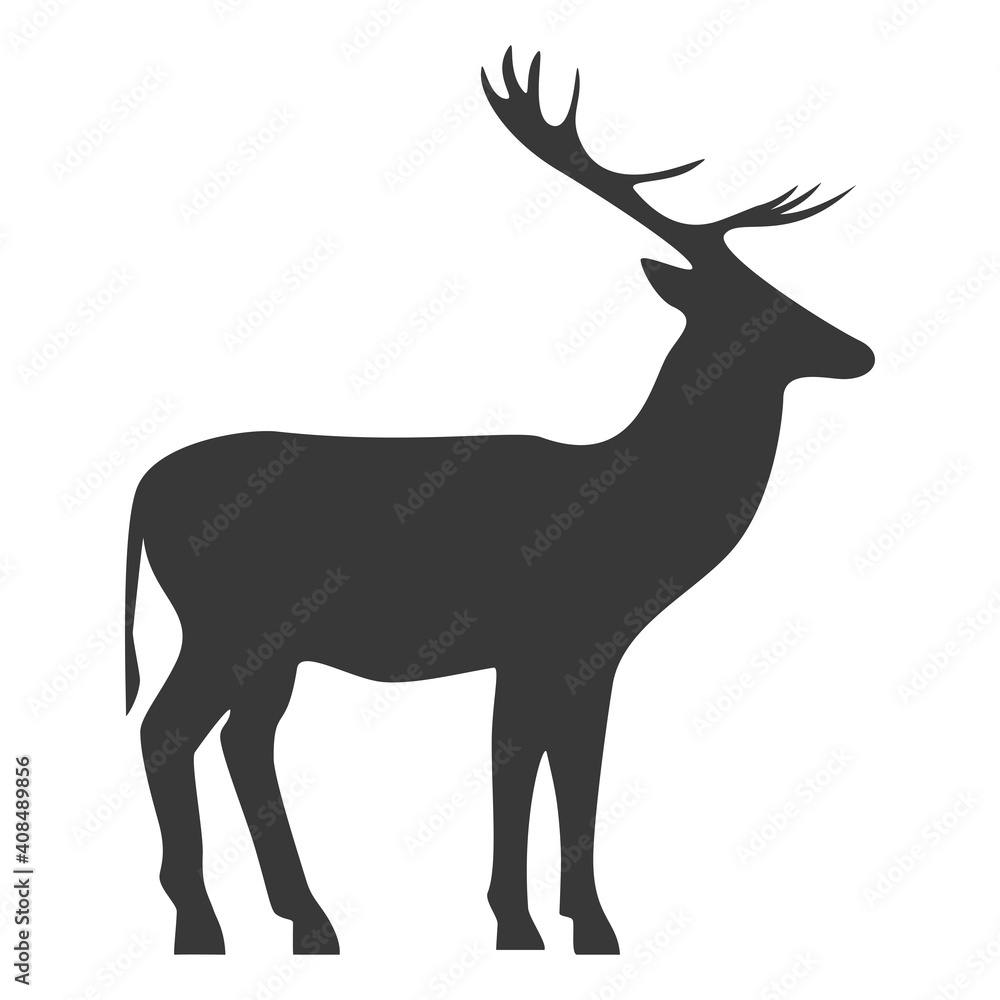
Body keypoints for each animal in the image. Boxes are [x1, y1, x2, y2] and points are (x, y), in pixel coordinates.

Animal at [124, 48, 874, 957]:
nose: (861, 350)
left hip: (271, 645)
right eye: (763, 306)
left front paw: (569, 922)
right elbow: (529, 770)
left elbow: (558, 771)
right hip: (224, 622)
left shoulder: (575, 653)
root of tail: (144, 486)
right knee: (166, 729)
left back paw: (306, 919)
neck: (634, 511)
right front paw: (540, 926)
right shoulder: (541, 639)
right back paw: (202, 924)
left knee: (241, 738)